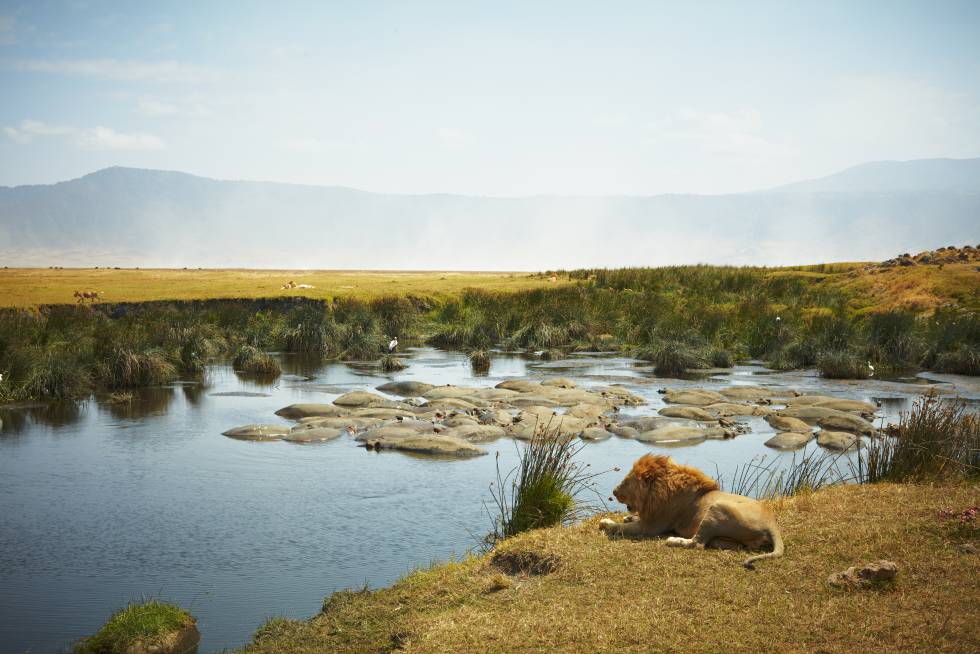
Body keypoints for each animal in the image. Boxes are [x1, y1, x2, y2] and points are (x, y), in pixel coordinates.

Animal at [596, 456, 780, 568]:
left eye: (627, 482)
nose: (614, 492)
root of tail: (772, 522)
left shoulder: (651, 527)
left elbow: (620, 527)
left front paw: (606, 522)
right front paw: (628, 517)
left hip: (716, 509)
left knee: (697, 544)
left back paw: (673, 540)